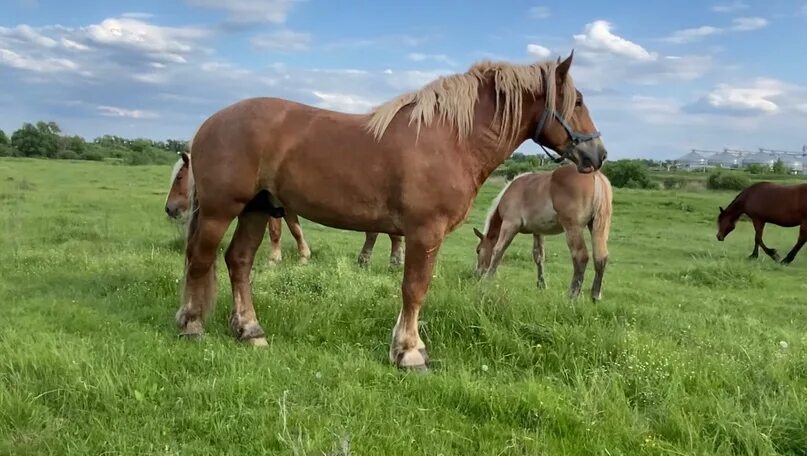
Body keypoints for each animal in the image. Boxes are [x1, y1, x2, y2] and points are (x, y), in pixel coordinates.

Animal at [474, 166, 612, 302]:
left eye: (478, 250)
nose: (477, 274)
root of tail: (595, 175)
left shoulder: (510, 224)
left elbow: (498, 250)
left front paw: (488, 279)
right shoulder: (537, 231)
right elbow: (538, 256)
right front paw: (541, 285)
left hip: (573, 228)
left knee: (581, 257)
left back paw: (572, 295)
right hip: (597, 226)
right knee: (600, 257)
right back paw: (595, 296)